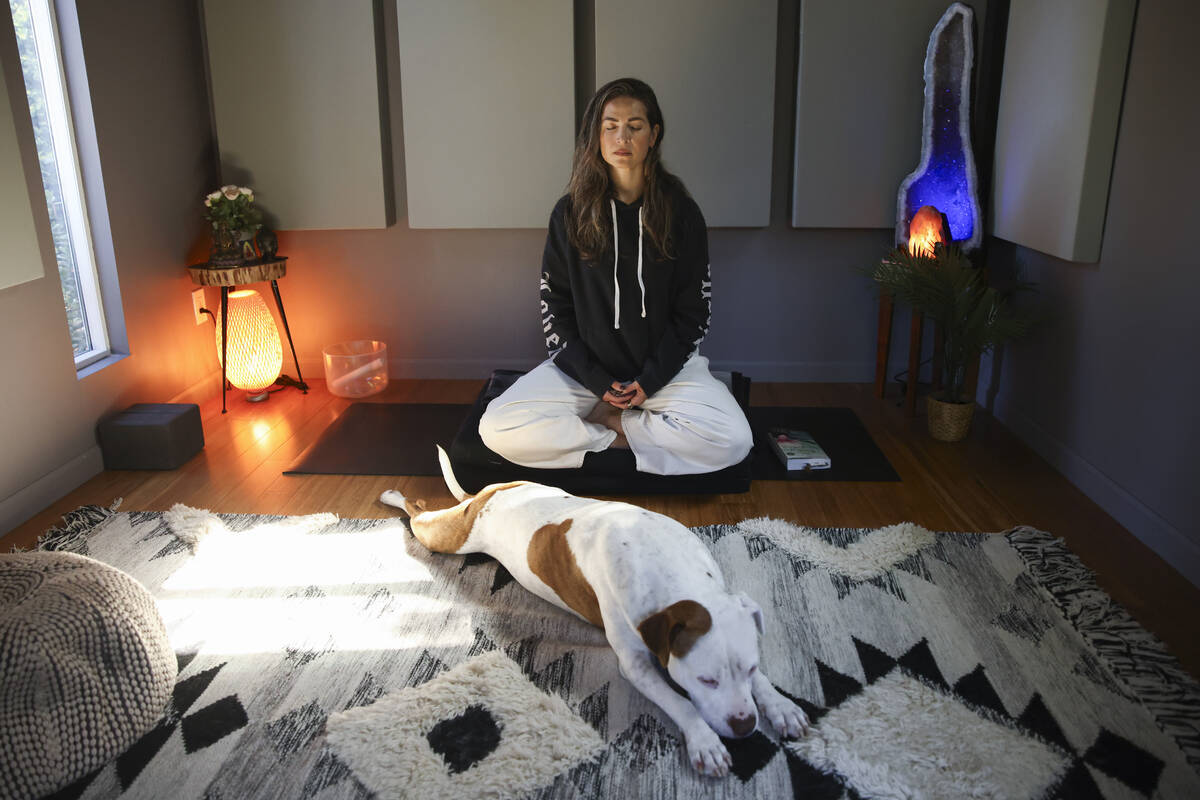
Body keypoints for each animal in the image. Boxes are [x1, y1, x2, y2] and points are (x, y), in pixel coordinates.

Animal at [379, 448, 811, 777]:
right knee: (417, 512)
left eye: (751, 668)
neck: (671, 567)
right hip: (448, 537)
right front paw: (704, 740)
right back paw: (392, 495)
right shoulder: (635, 665)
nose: (745, 725)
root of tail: (494, 489)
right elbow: (681, 703)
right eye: (706, 680)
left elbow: (762, 684)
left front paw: (781, 706)